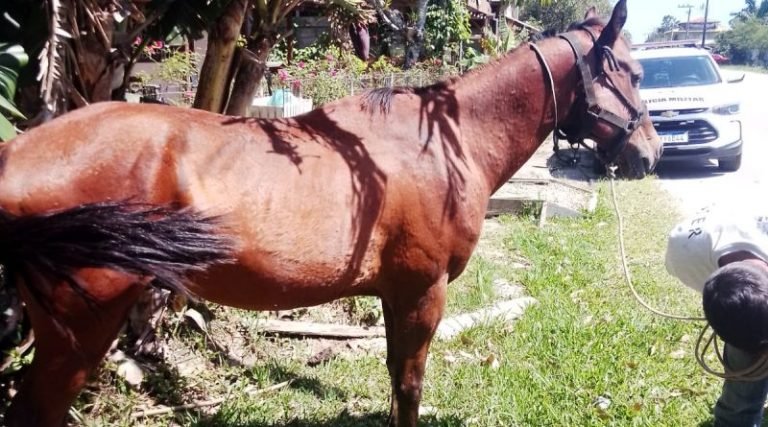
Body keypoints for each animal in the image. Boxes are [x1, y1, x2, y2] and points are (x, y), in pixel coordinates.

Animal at [0, 0, 660, 425]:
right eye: (632, 72)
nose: (650, 154)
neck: (445, 144)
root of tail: (17, 152)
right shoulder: (423, 291)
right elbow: (410, 385)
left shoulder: (396, 293)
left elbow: (395, 378)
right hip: (77, 336)